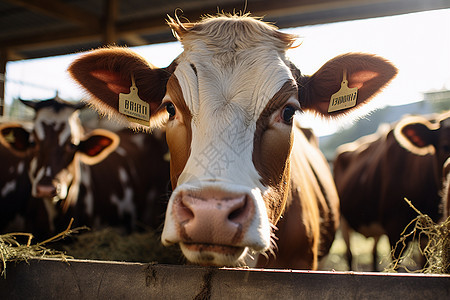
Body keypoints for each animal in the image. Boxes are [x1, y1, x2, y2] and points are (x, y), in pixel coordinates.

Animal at [334, 111, 450, 270]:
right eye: (445, 146)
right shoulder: (394, 229)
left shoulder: (428, 234)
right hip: (343, 220)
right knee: (350, 255)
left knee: (373, 252)